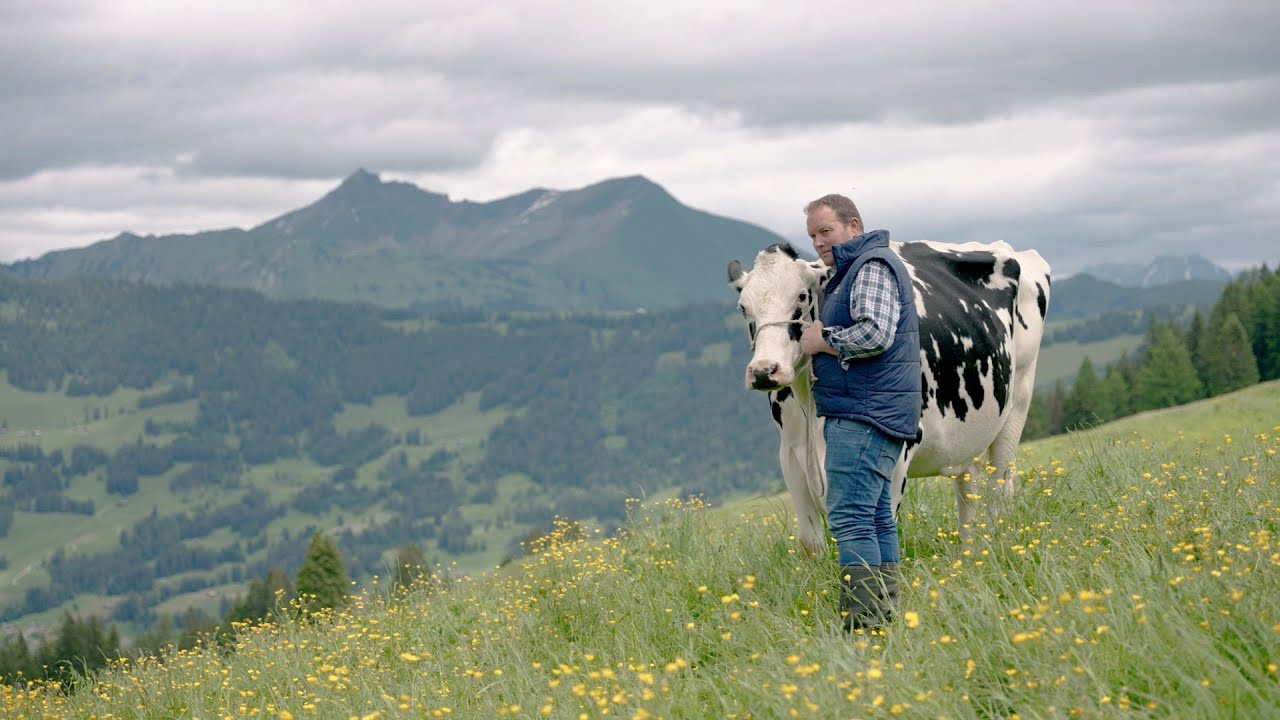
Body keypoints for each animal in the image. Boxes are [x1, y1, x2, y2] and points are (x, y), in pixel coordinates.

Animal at [732, 238, 1049, 550]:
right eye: (743, 307)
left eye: (801, 296)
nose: (764, 371)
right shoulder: (790, 451)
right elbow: (811, 540)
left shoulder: (901, 446)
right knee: (969, 488)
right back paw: (971, 552)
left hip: (1018, 401)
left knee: (999, 487)